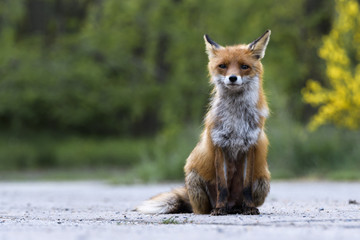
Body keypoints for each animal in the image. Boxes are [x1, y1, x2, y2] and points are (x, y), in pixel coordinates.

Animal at [136, 30, 272, 216]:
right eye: (223, 66)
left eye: (244, 67)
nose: (232, 78)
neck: (235, 118)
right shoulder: (219, 144)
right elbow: (222, 186)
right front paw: (219, 209)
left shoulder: (250, 146)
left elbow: (246, 186)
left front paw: (249, 207)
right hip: (194, 178)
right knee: (200, 210)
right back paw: (218, 208)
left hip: (263, 180)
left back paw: (239, 208)